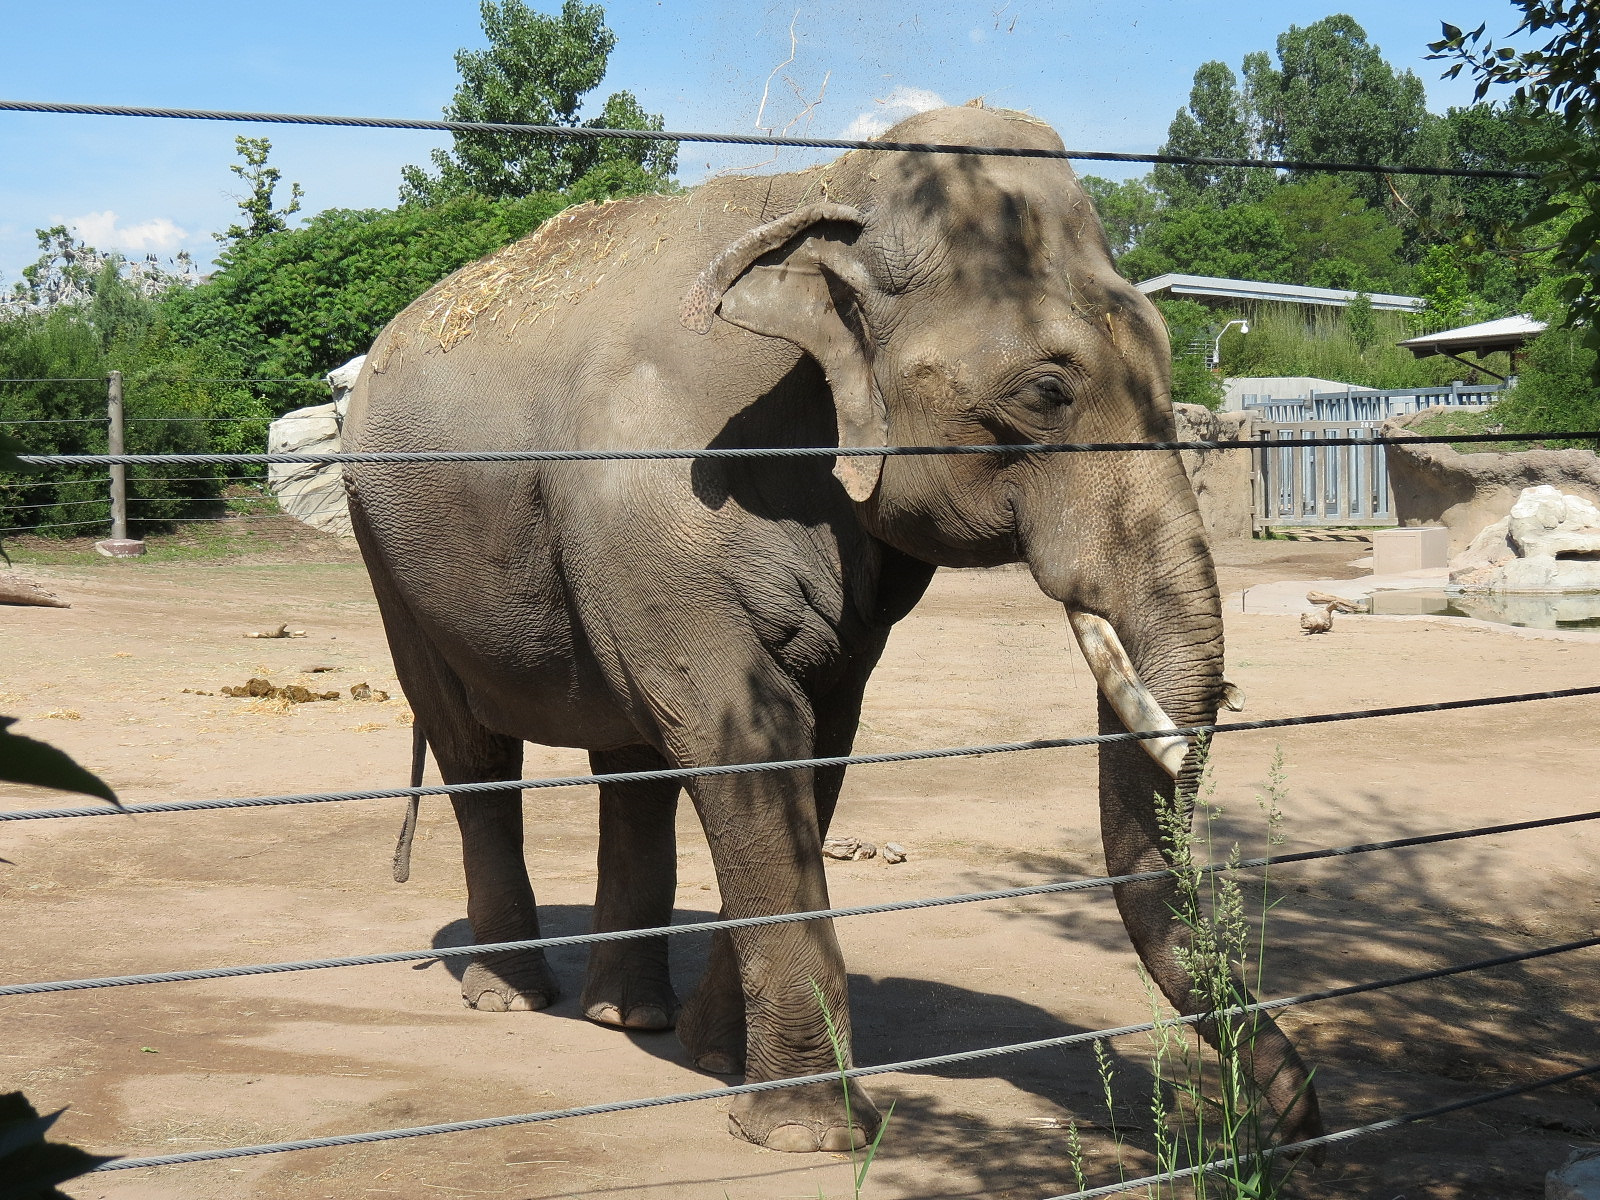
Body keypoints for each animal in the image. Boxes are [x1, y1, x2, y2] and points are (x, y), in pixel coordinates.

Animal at [342, 101, 1321, 1155]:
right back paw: (510, 998)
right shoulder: (650, 495)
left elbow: (820, 736)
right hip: (387, 551)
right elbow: (746, 730)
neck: (823, 196)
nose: (1283, 1122)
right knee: (472, 750)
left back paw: (628, 1018)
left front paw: (718, 1059)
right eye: (1047, 392)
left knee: (632, 765)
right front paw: (809, 1132)